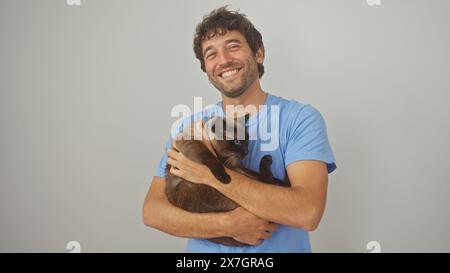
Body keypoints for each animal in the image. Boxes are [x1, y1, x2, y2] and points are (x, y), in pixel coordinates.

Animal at [164, 113, 288, 245]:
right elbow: (211, 158)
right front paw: (224, 178)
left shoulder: (234, 166)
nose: (246, 151)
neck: (223, 157)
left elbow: (253, 173)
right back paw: (268, 161)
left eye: (247, 140)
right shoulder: (194, 144)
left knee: (265, 180)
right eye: (237, 142)